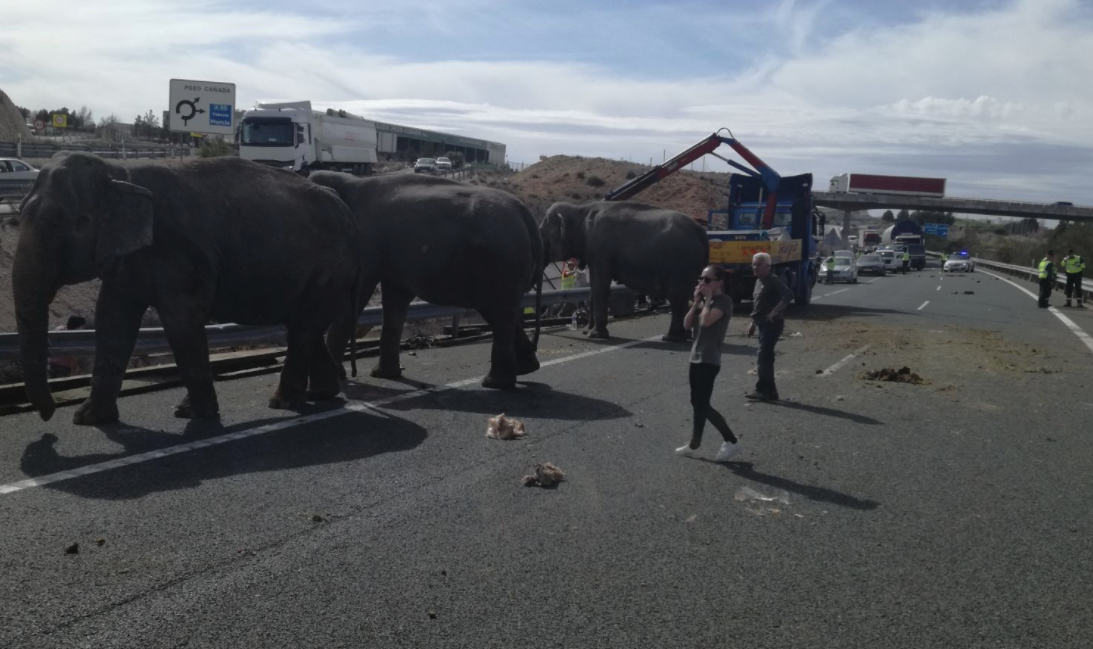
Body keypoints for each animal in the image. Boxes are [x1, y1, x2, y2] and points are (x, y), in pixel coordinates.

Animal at [11, 151, 358, 423]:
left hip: (330, 269)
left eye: (77, 223)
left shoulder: (178, 252)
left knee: (303, 327)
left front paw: (194, 413)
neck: (120, 173)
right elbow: (112, 320)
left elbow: (180, 322)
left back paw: (283, 402)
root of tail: (345, 209)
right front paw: (88, 419)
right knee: (302, 326)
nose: (48, 414)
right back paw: (320, 393)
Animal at [310, 169, 544, 386]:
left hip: (499, 263)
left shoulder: (366, 244)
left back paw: (494, 383)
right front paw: (384, 375)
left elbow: (358, 294)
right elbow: (395, 299)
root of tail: (527, 217)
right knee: (503, 314)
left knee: (498, 314)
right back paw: (526, 369)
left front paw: (338, 376)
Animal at [539, 199, 708, 340]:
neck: (580, 209)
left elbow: (600, 285)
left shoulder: (601, 250)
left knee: (676, 296)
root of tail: (701, 232)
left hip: (681, 262)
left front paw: (595, 335)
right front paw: (587, 331)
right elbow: (593, 287)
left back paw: (670, 337)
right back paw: (684, 336)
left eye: (541, 232)